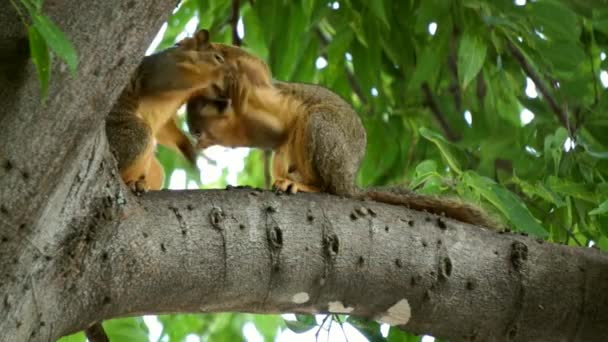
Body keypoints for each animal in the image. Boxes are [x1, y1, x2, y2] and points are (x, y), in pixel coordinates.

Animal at [105, 31, 234, 192]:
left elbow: (165, 128)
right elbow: (168, 80)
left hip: (155, 170)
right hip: (130, 135)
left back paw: (138, 183)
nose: (231, 72)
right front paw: (219, 72)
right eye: (217, 58)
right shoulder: (162, 68)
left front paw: (188, 149)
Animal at [184, 30, 494, 227]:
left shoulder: (259, 82)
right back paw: (285, 180)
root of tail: (349, 181)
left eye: (198, 125)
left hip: (321, 127)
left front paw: (208, 48)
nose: (196, 139)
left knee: (327, 186)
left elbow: (249, 62)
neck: (239, 111)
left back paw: (304, 185)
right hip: (290, 151)